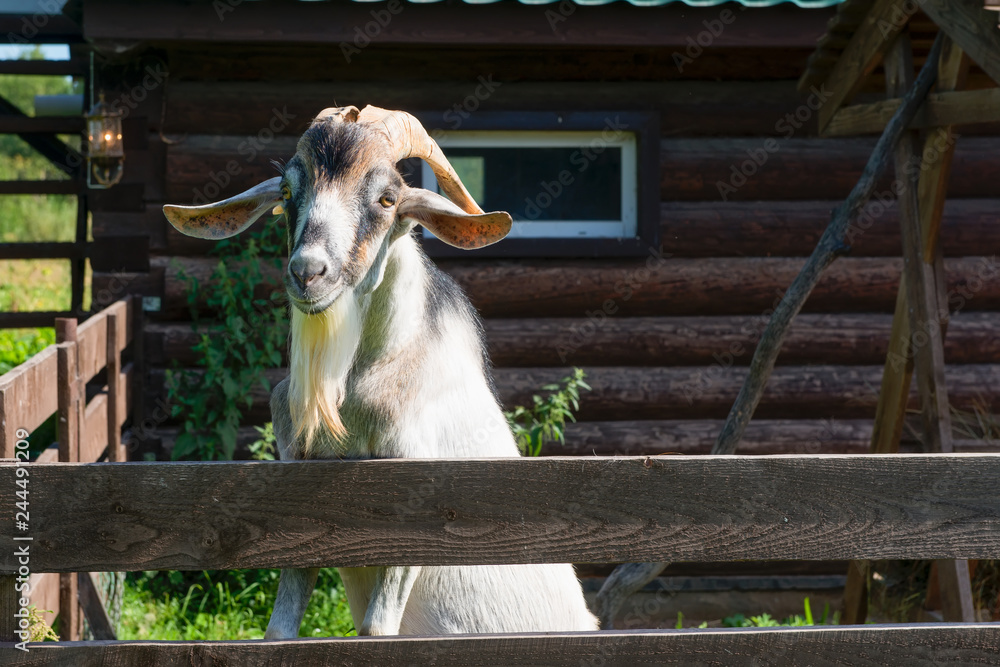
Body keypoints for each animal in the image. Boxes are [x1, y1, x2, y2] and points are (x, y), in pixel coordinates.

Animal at [163, 105, 599, 637]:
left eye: (388, 198)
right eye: (287, 192)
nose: (308, 272)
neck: (353, 387)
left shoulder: (415, 499)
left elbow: (375, 629)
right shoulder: (295, 485)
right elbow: (281, 627)